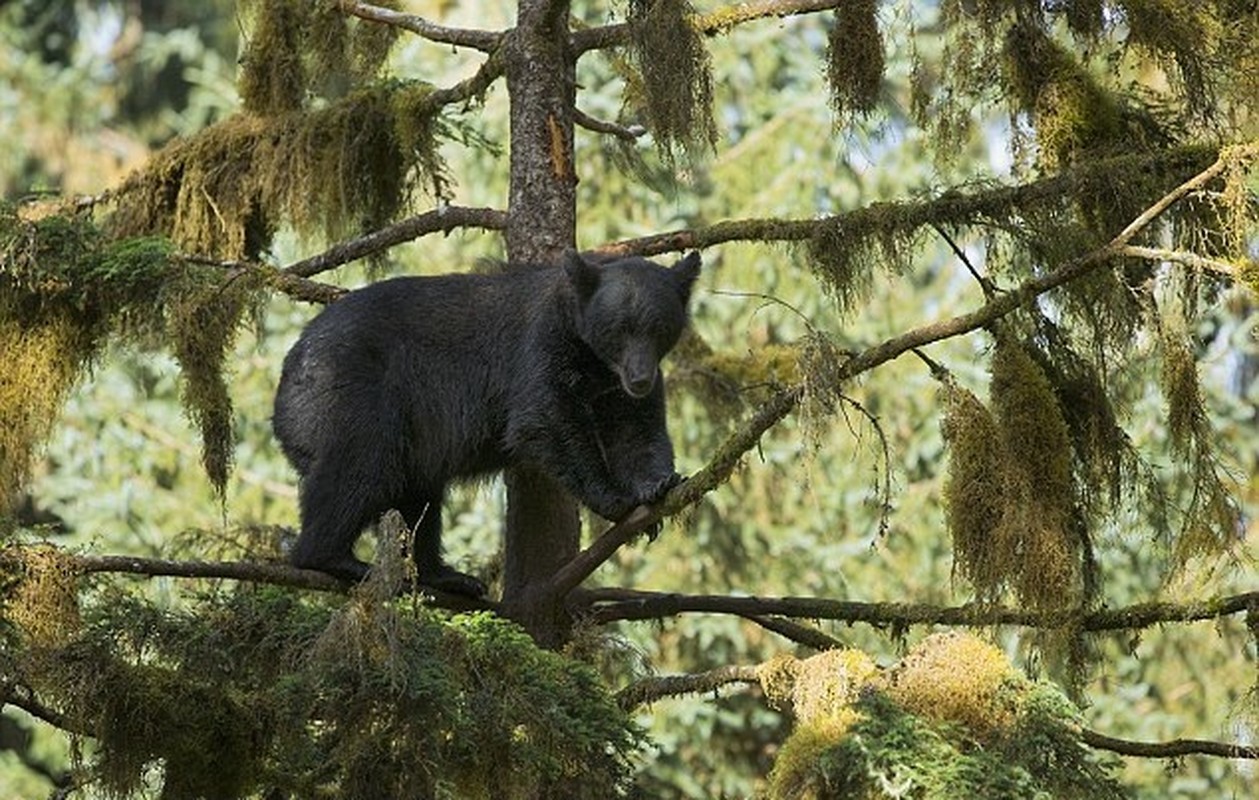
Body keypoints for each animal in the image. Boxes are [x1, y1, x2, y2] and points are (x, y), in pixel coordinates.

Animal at [273, 250, 700, 594]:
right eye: (618, 329)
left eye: (659, 327)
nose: (639, 378)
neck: (593, 364)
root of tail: (288, 370)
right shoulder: (540, 349)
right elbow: (543, 419)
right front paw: (616, 500)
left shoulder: (615, 387)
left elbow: (637, 432)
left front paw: (658, 486)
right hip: (353, 393)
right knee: (359, 467)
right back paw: (338, 559)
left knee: (418, 496)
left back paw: (445, 576)